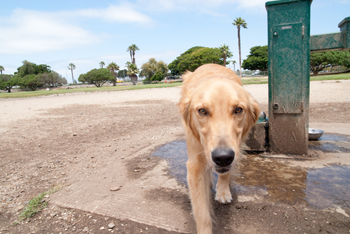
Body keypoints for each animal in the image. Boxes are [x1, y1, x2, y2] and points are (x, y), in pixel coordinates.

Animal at [179, 64, 258, 234]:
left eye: (238, 109)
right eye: (202, 111)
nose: (222, 157)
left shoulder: (236, 147)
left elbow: (226, 172)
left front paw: (223, 190)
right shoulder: (195, 162)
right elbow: (202, 213)